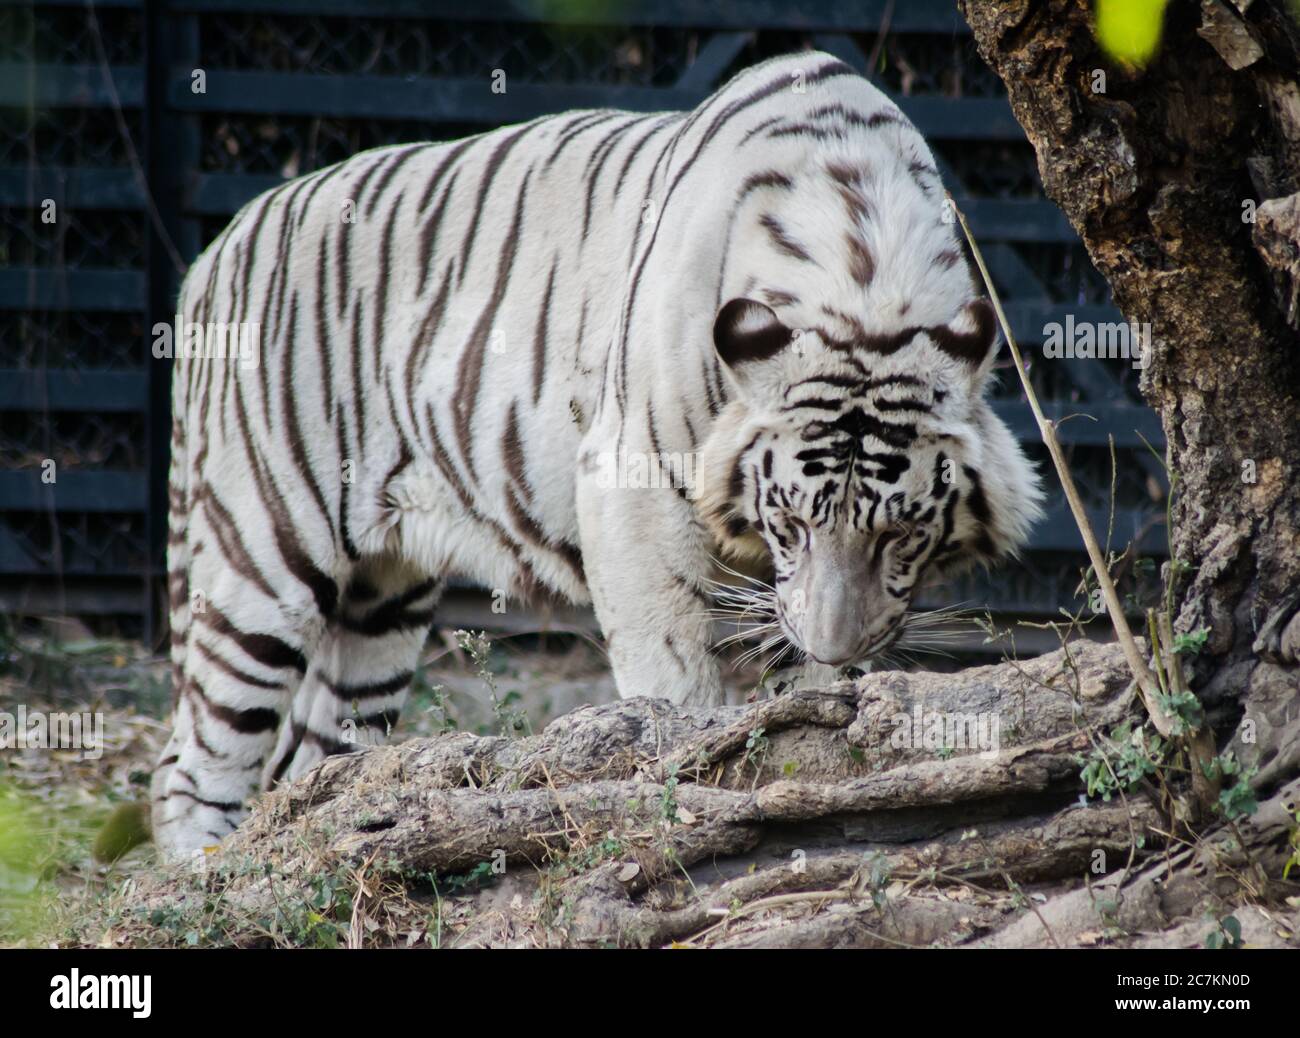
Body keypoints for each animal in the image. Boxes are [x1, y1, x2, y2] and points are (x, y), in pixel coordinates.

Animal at [150, 51, 1043, 856]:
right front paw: (690, 768)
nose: (837, 644)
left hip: (380, 603)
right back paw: (201, 880)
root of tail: (215, 251)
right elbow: (672, 670)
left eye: (900, 535)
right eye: (788, 523)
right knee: (189, 767)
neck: (861, 284)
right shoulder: (633, 484)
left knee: (307, 760)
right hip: (263, 555)